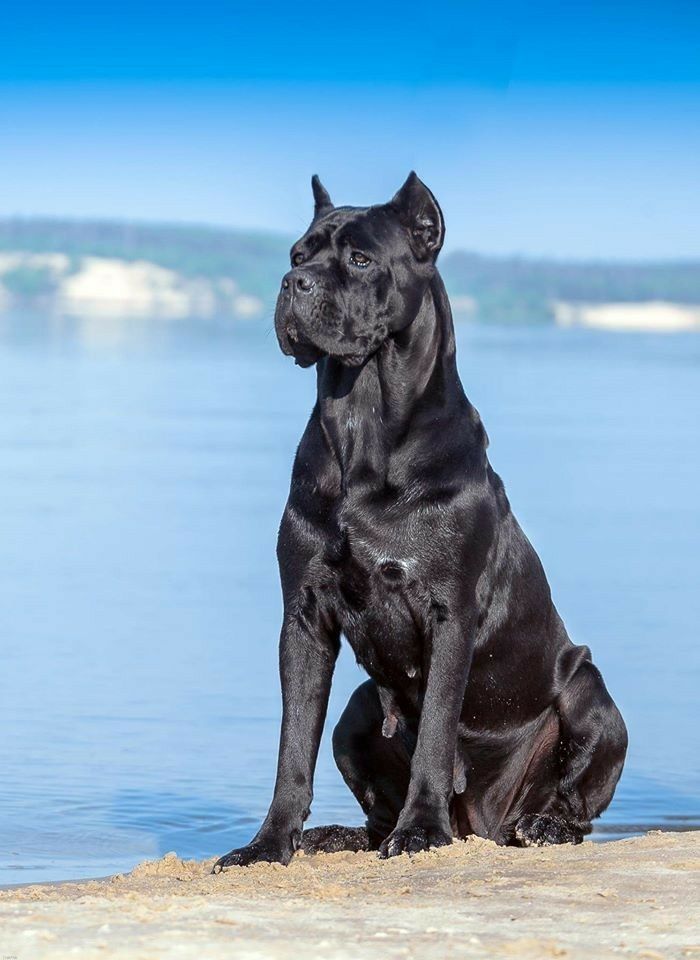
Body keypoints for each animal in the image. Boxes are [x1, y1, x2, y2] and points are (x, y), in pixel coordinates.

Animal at [213, 174, 628, 872]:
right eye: (299, 255)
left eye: (359, 259)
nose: (293, 283)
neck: (363, 421)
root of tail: (483, 823)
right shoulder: (303, 616)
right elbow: (292, 745)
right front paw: (268, 843)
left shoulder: (448, 612)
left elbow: (435, 729)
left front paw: (421, 831)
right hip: (356, 712)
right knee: (369, 795)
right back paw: (341, 836)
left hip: (590, 693)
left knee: (578, 802)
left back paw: (540, 825)